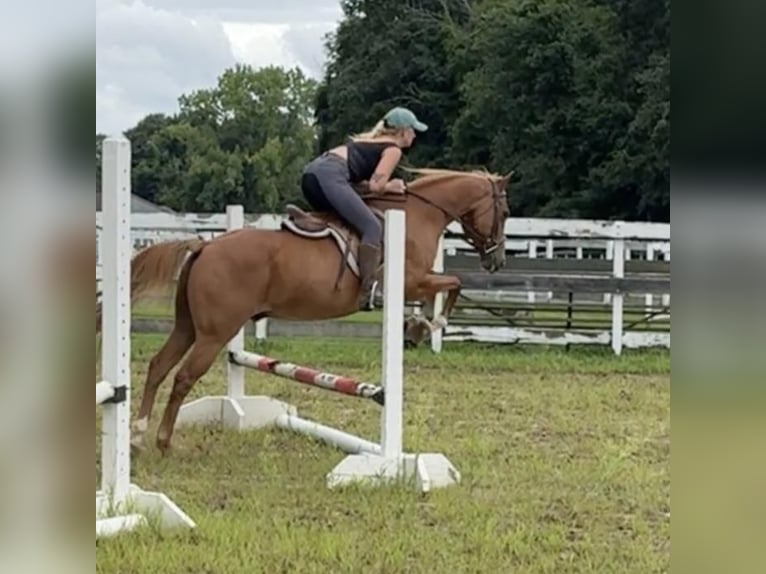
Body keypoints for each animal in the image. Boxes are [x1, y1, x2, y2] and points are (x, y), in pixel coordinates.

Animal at [117, 166, 510, 454]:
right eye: (504, 212)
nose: (497, 261)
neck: (418, 214)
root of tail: (205, 246)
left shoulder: (415, 283)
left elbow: (446, 287)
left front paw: (414, 326)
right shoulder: (412, 280)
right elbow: (454, 282)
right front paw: (428, 325)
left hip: (188, 327)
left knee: (158, 366)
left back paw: (136, 435)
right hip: (215, 333)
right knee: (183, 377)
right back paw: (163, 442)